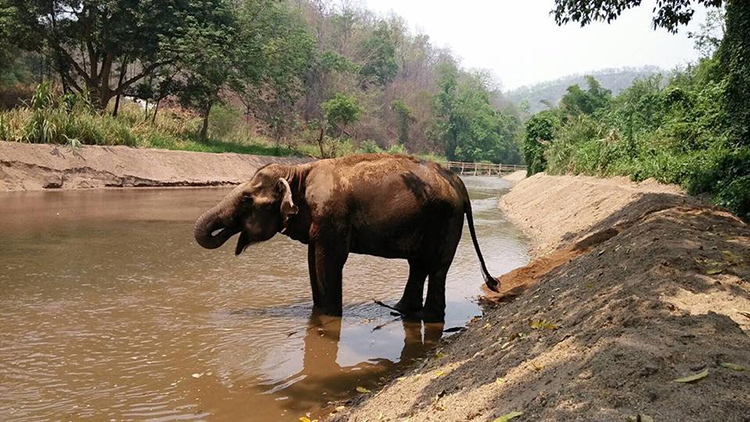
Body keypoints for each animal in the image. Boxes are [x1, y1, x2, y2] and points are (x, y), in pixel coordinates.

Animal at [194, 153, 500, 322]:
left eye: (247, 199)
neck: (298, 172)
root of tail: (459, 181)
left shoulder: (332, 218)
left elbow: (328, 262)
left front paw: (328, 319)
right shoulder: (318, 221)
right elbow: (312, 261)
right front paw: (316, 315)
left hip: (447, 219)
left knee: (436, 267)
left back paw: (426, 317)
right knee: (418, 265)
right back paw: (402, 310)